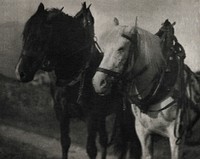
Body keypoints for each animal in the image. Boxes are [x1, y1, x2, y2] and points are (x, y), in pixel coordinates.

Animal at [15, 2, 141, 159]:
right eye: (25, 35)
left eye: (40, 38)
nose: (21, 72)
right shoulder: (63, 115)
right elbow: (65, 142)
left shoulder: (91, 117)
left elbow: (91, 149)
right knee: (106, 140)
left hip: (127, 117)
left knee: (129, 143)